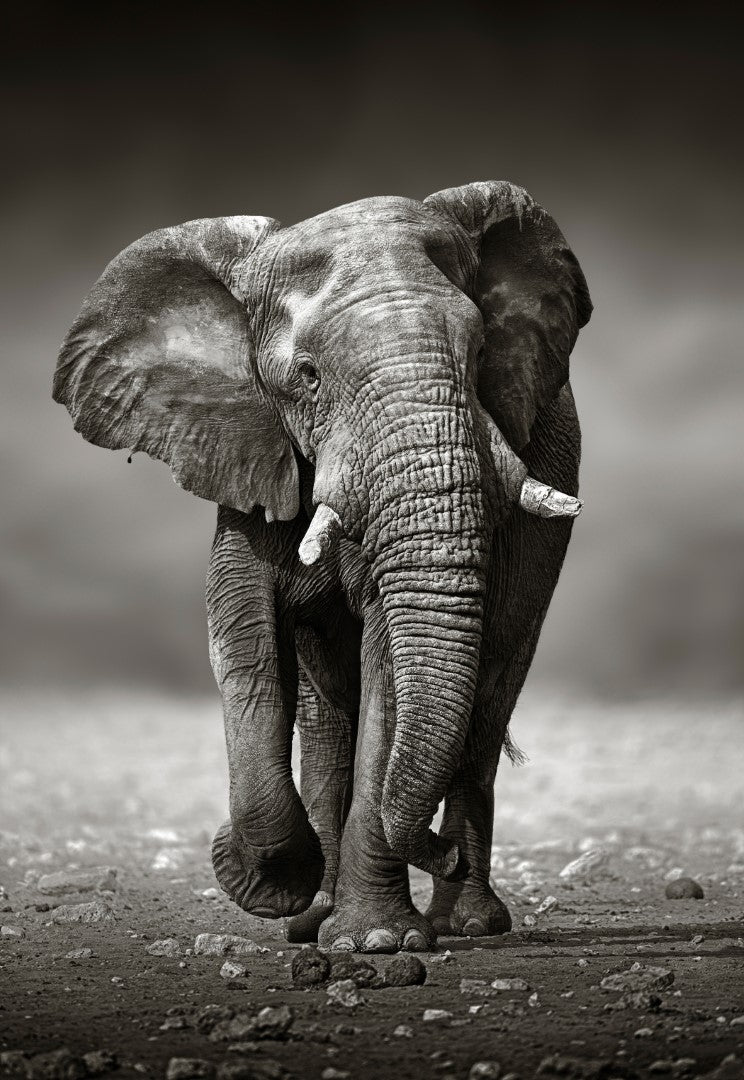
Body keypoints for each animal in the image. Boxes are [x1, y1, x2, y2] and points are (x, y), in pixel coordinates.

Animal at [53, 180, 591, 953]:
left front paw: (378, 941)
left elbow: (388, 661)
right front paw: (272, 883)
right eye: (306, 377)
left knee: (488, 693)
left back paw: (464, 923)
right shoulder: (249, 449)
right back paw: (316, 917)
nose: (437, 852)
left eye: (482, 349)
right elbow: (243, 638)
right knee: (327, 715)